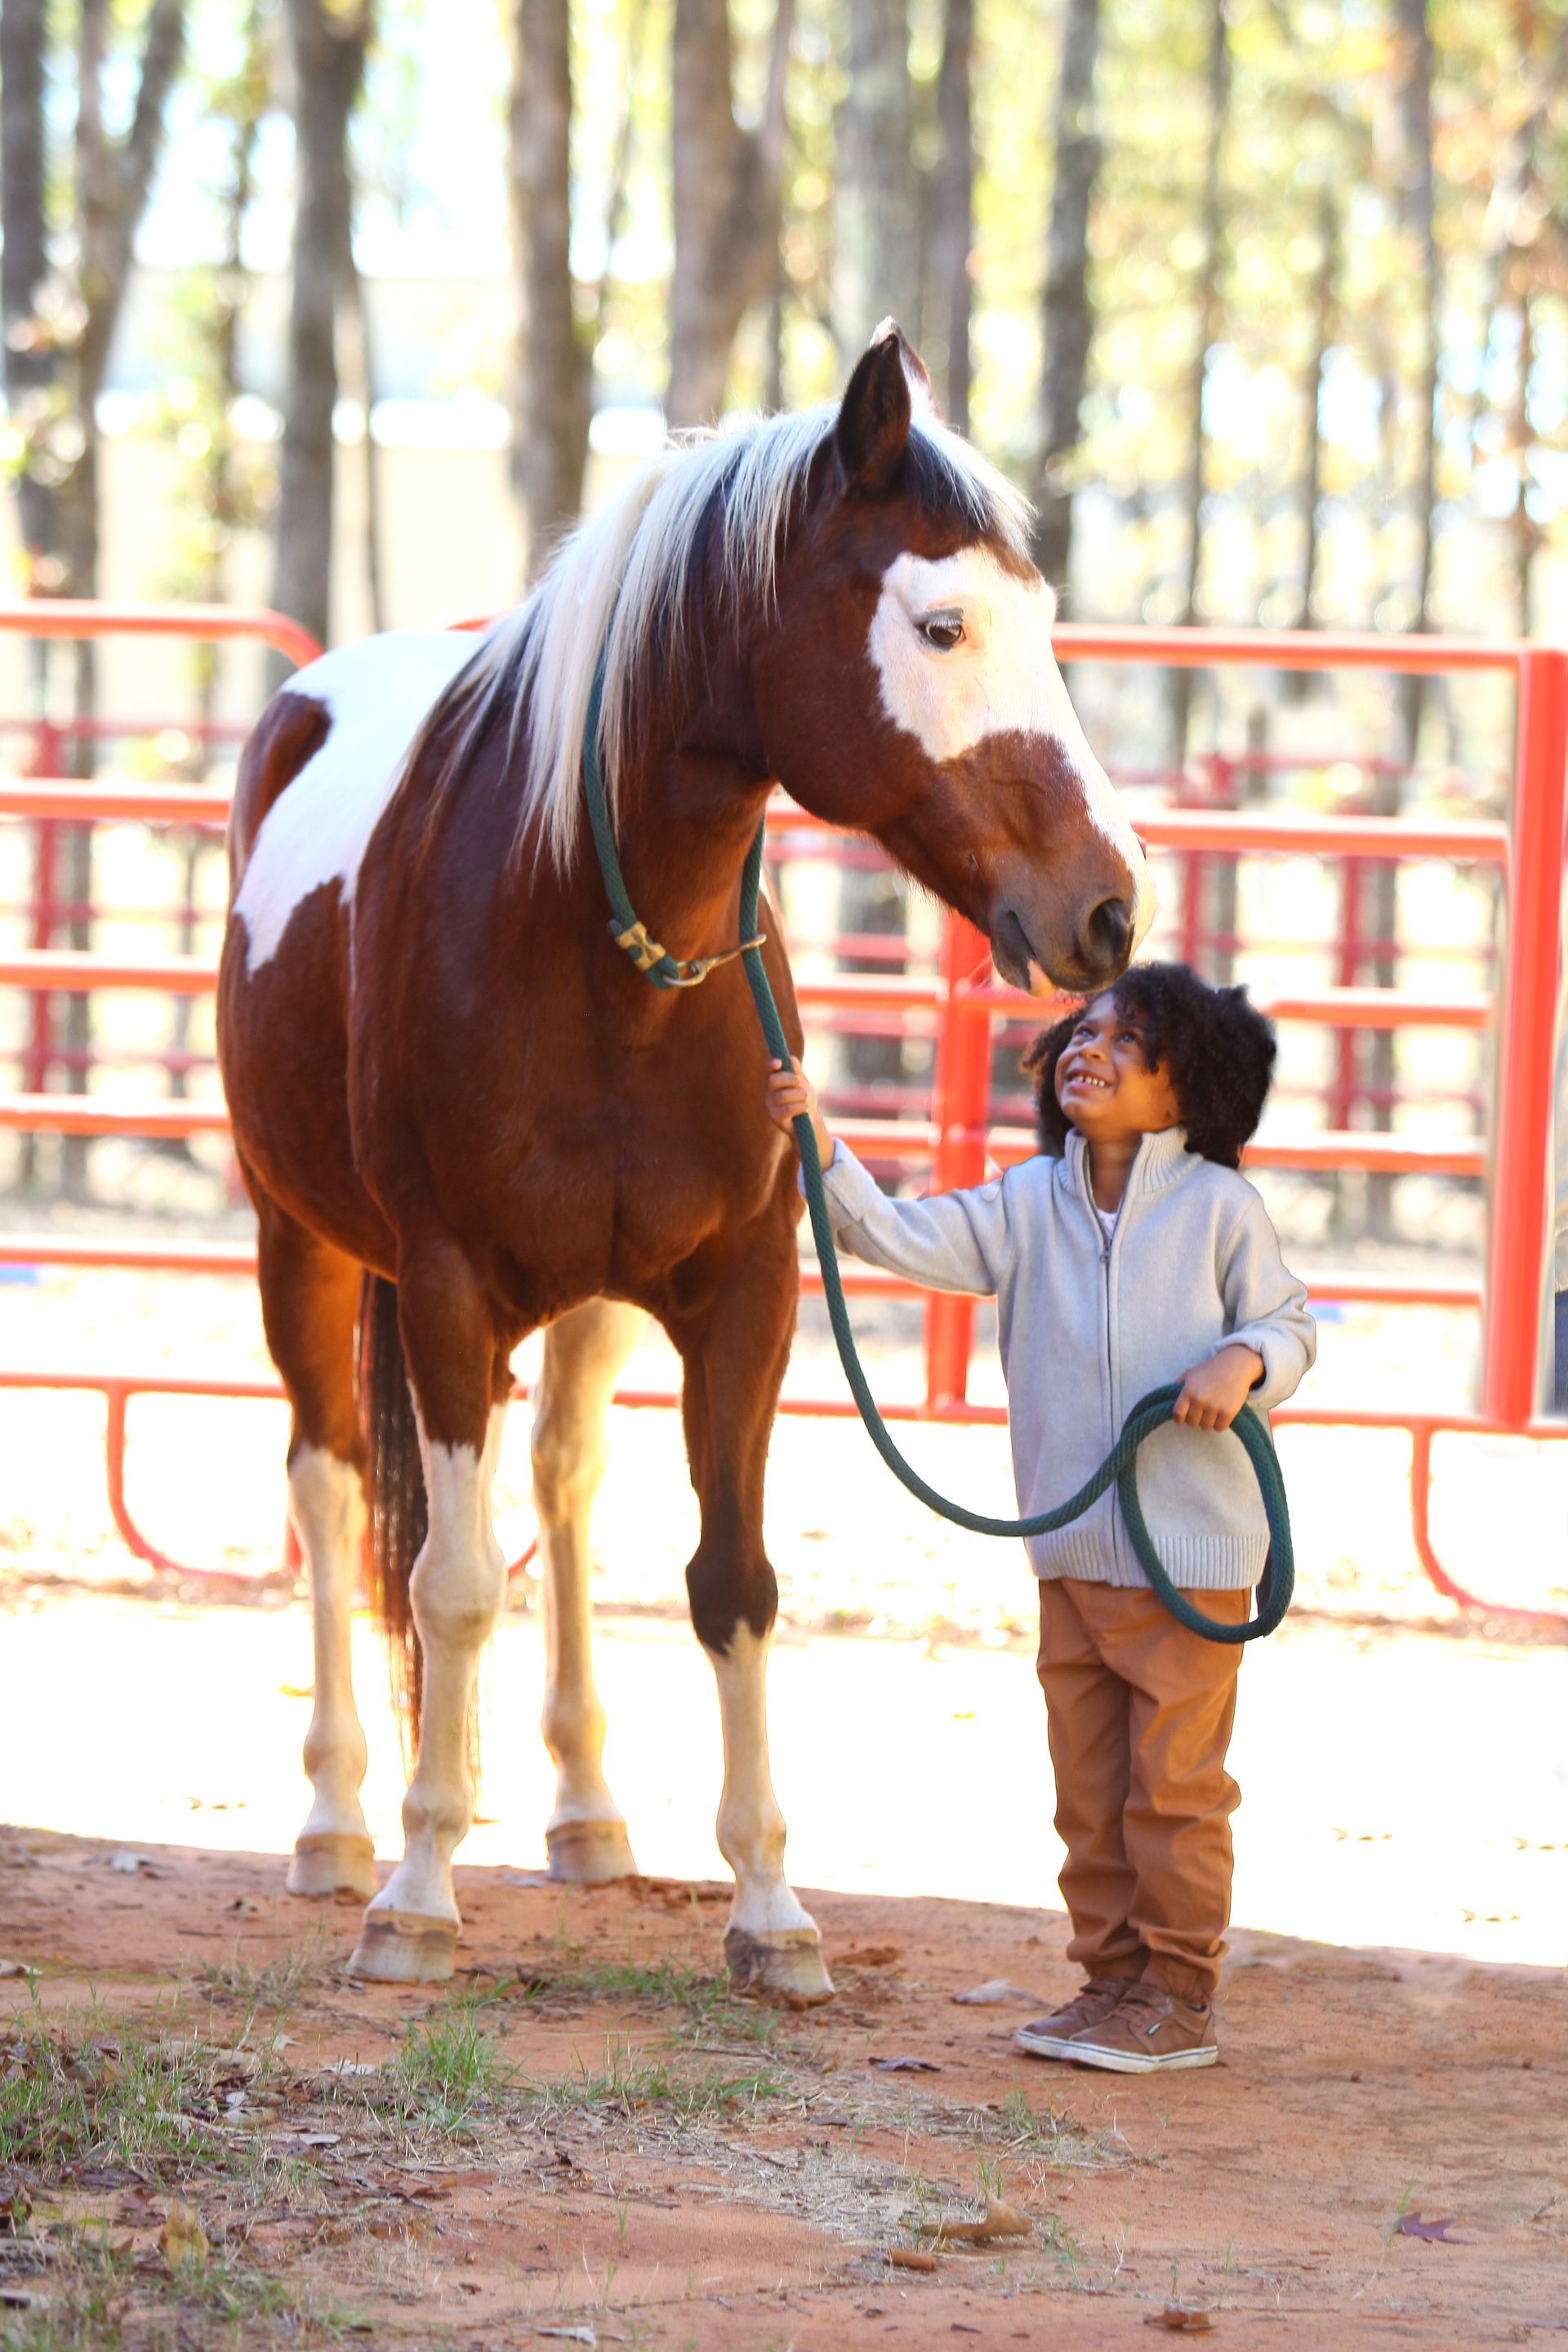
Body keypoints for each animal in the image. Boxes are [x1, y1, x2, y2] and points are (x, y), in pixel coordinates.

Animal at [215, 323, 1154, 2002]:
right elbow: (449, 1583)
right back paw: (340, 1825)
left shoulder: (744, 1297)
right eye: (942, 622)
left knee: (564, 1485)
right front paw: (417, 1895)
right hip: (299, 1244)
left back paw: (587, 1814)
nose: (1110, 908)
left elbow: (731, 1584)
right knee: (332, 1492)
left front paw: (771, 1909)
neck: (597, 942)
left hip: (583, 1308)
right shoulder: (444, 1291)